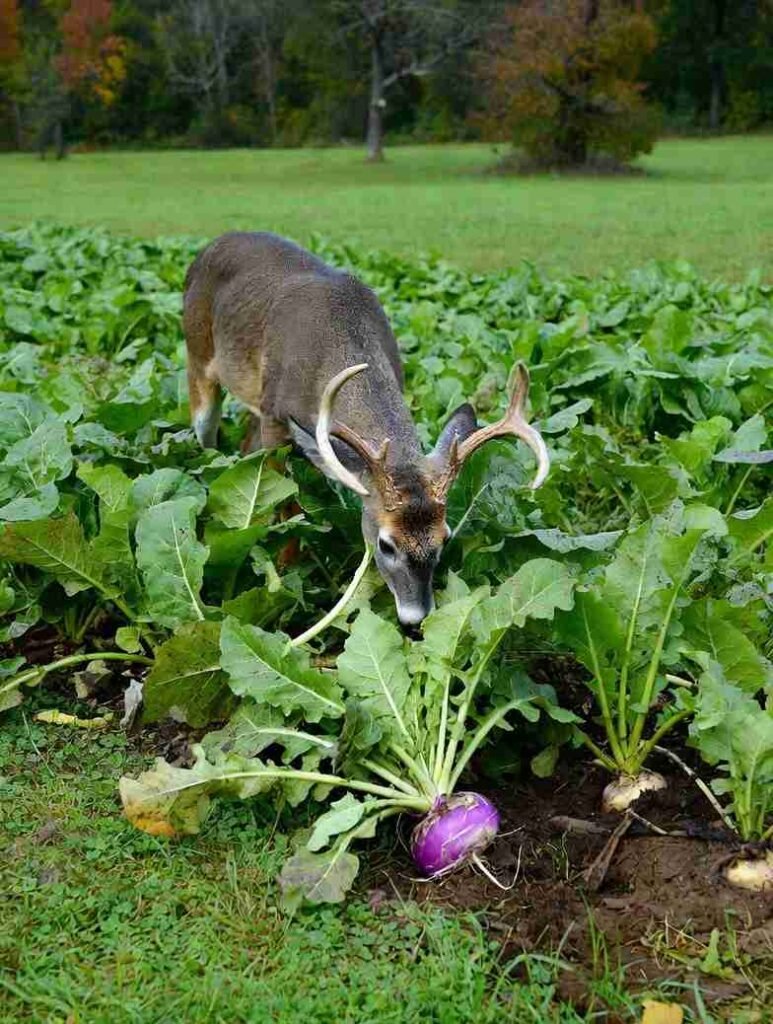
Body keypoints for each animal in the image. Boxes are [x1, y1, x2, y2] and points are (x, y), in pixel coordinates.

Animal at [183, 232, 550, 630]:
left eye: (445, 539)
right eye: (386, 544)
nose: (415, 621)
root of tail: (212, 244)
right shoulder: (275, 418)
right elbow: (287, 505)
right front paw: (282, 578)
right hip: (198, 360)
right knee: (206, 435)